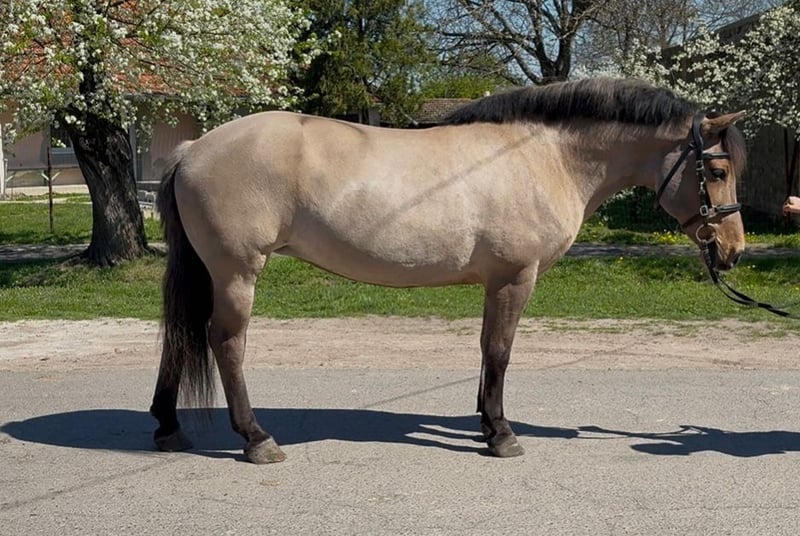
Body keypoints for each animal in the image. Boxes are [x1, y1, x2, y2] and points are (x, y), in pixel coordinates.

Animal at [150, 78, 747, 464]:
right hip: (236, 272)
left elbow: (486, 351)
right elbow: (500, 353)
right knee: (225, 343)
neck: (544, 157)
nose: (734, 249)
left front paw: (485, 423)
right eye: (717, 171)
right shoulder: (515, 277)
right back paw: (256, 438)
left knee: (180, 337)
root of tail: (192, 148)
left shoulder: (496, 282)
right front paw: (502, 435)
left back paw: (168, 426)